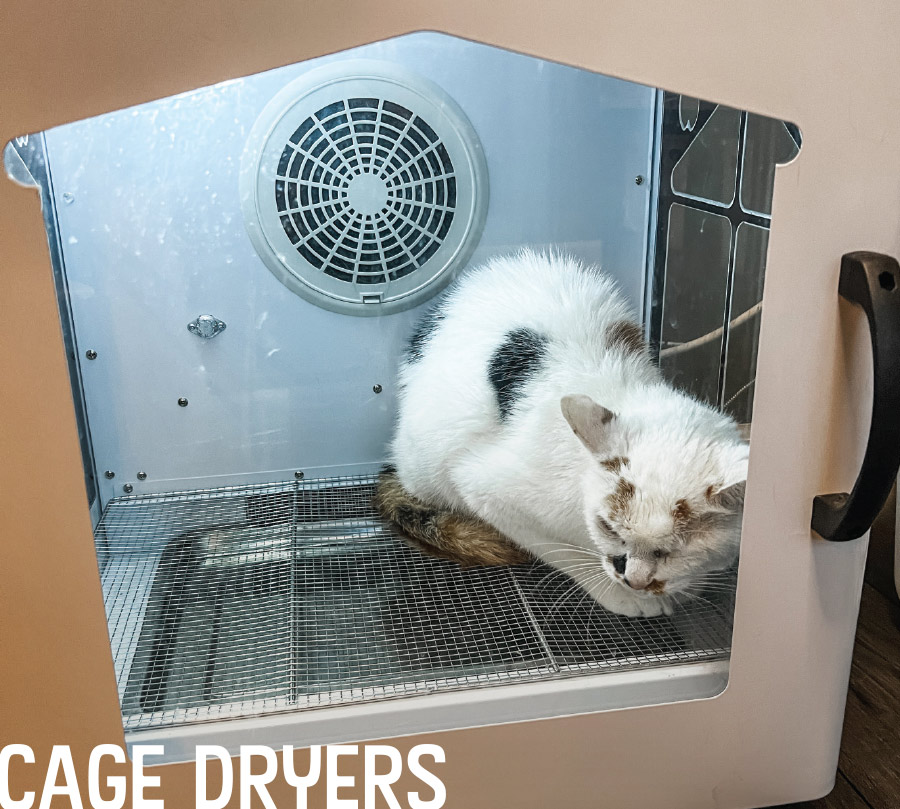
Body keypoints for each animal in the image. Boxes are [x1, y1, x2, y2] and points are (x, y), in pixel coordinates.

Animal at [376, 249, 748, 616]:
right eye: (607, 527)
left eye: (677, 549)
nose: (635, 581)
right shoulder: (487, 490)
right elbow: (559, 551)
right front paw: (618, 593)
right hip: (427, 465)